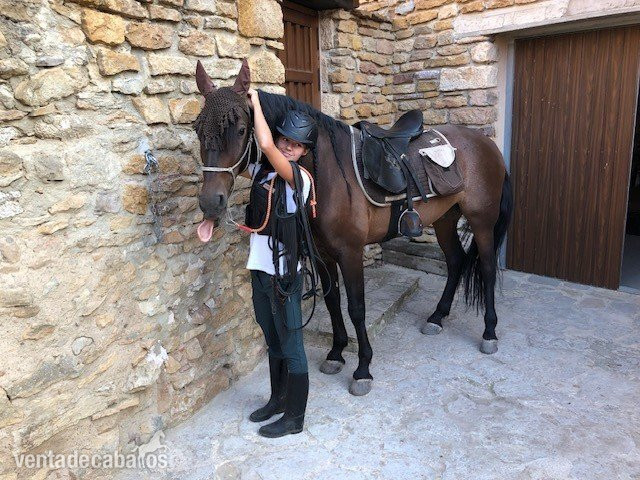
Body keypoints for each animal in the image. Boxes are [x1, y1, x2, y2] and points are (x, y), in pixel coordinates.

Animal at [194, 59, 513, 396]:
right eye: (197, 129)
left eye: (242, 129)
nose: (210, 202)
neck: (328, 173)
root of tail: (486, 145)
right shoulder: (322, 252)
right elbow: (333, 300)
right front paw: (336, 353)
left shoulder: (350, 252)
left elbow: (356, 308)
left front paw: (362, 369)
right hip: (445, 219)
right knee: (455, 262)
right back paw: (437, 317)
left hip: (481, 221)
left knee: (487, 268)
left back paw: (489, 332)